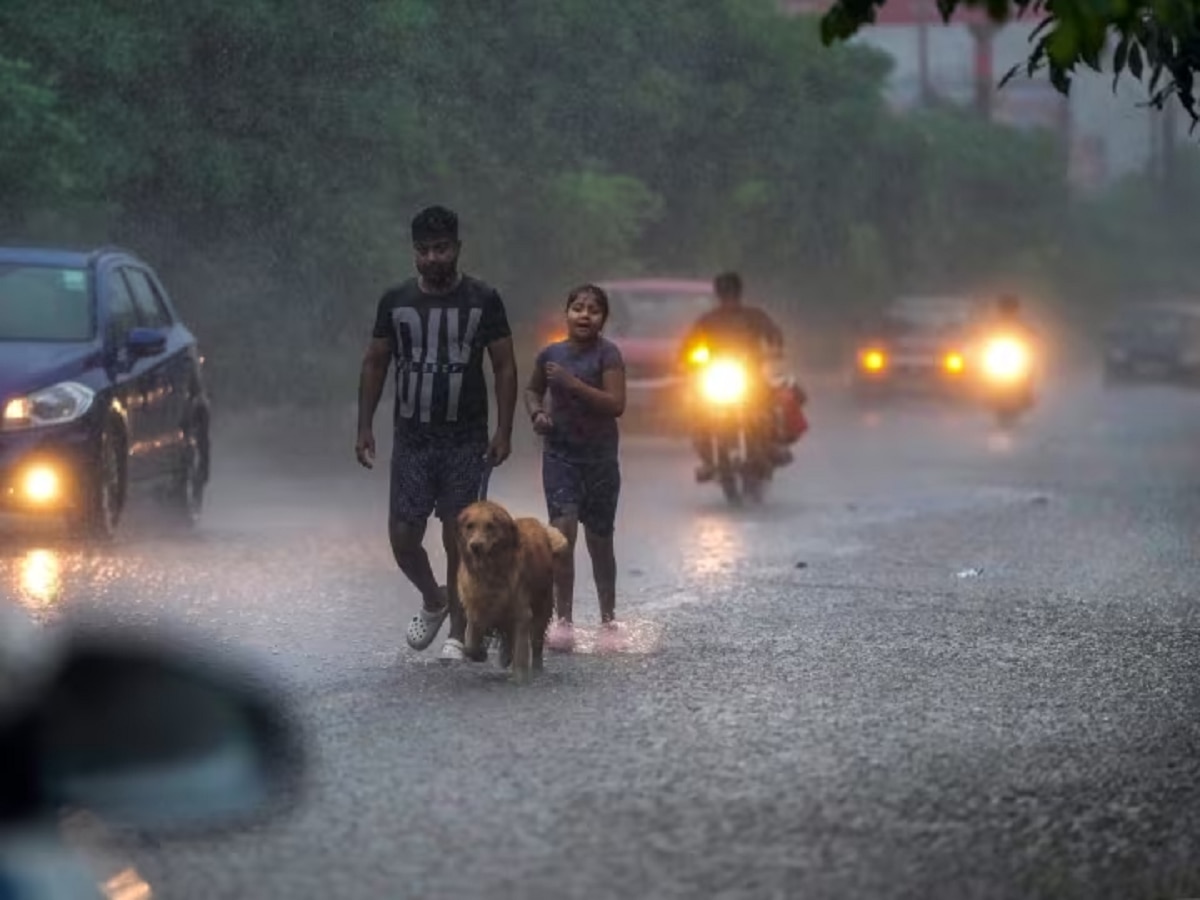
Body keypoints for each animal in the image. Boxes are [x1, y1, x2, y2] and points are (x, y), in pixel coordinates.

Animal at [458, 501, 571, 681]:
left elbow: (521, 649)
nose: (475, 546)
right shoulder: (476, 609)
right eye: (470, 526)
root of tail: (537, 523)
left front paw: (520, 675)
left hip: (542, 605)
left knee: (536, 642)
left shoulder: (522, 612)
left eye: (490, 526)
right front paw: (479, 653)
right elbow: (470, 644)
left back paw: (536, 667)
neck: (491, 573)